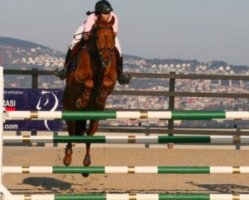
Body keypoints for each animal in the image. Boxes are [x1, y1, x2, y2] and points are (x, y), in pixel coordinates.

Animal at [61, 15, 117, 175]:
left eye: (113, 36)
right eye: (97, 37)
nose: (106, 59)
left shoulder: (111, 79)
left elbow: (106, 85)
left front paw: (100, 98)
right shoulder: (78, 77)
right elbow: (89, 83)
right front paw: (83, 100)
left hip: (94, 119)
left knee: (89, 137)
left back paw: (86, 163)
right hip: (69, 112)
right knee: (71, 132)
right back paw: (67, 158)